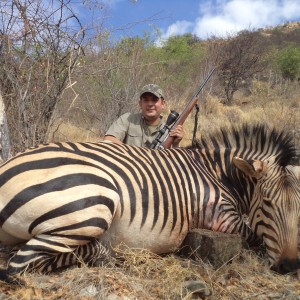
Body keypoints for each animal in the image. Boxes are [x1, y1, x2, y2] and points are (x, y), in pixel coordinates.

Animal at [0, 123, 298, 282]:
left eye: (299, 206)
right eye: (267, 203)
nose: (290, 266)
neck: (215, 173)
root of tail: (6, 167)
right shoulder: (222, 216)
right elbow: (254, 235)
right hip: (94, 206)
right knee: (17, 266)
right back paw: (107, 253)